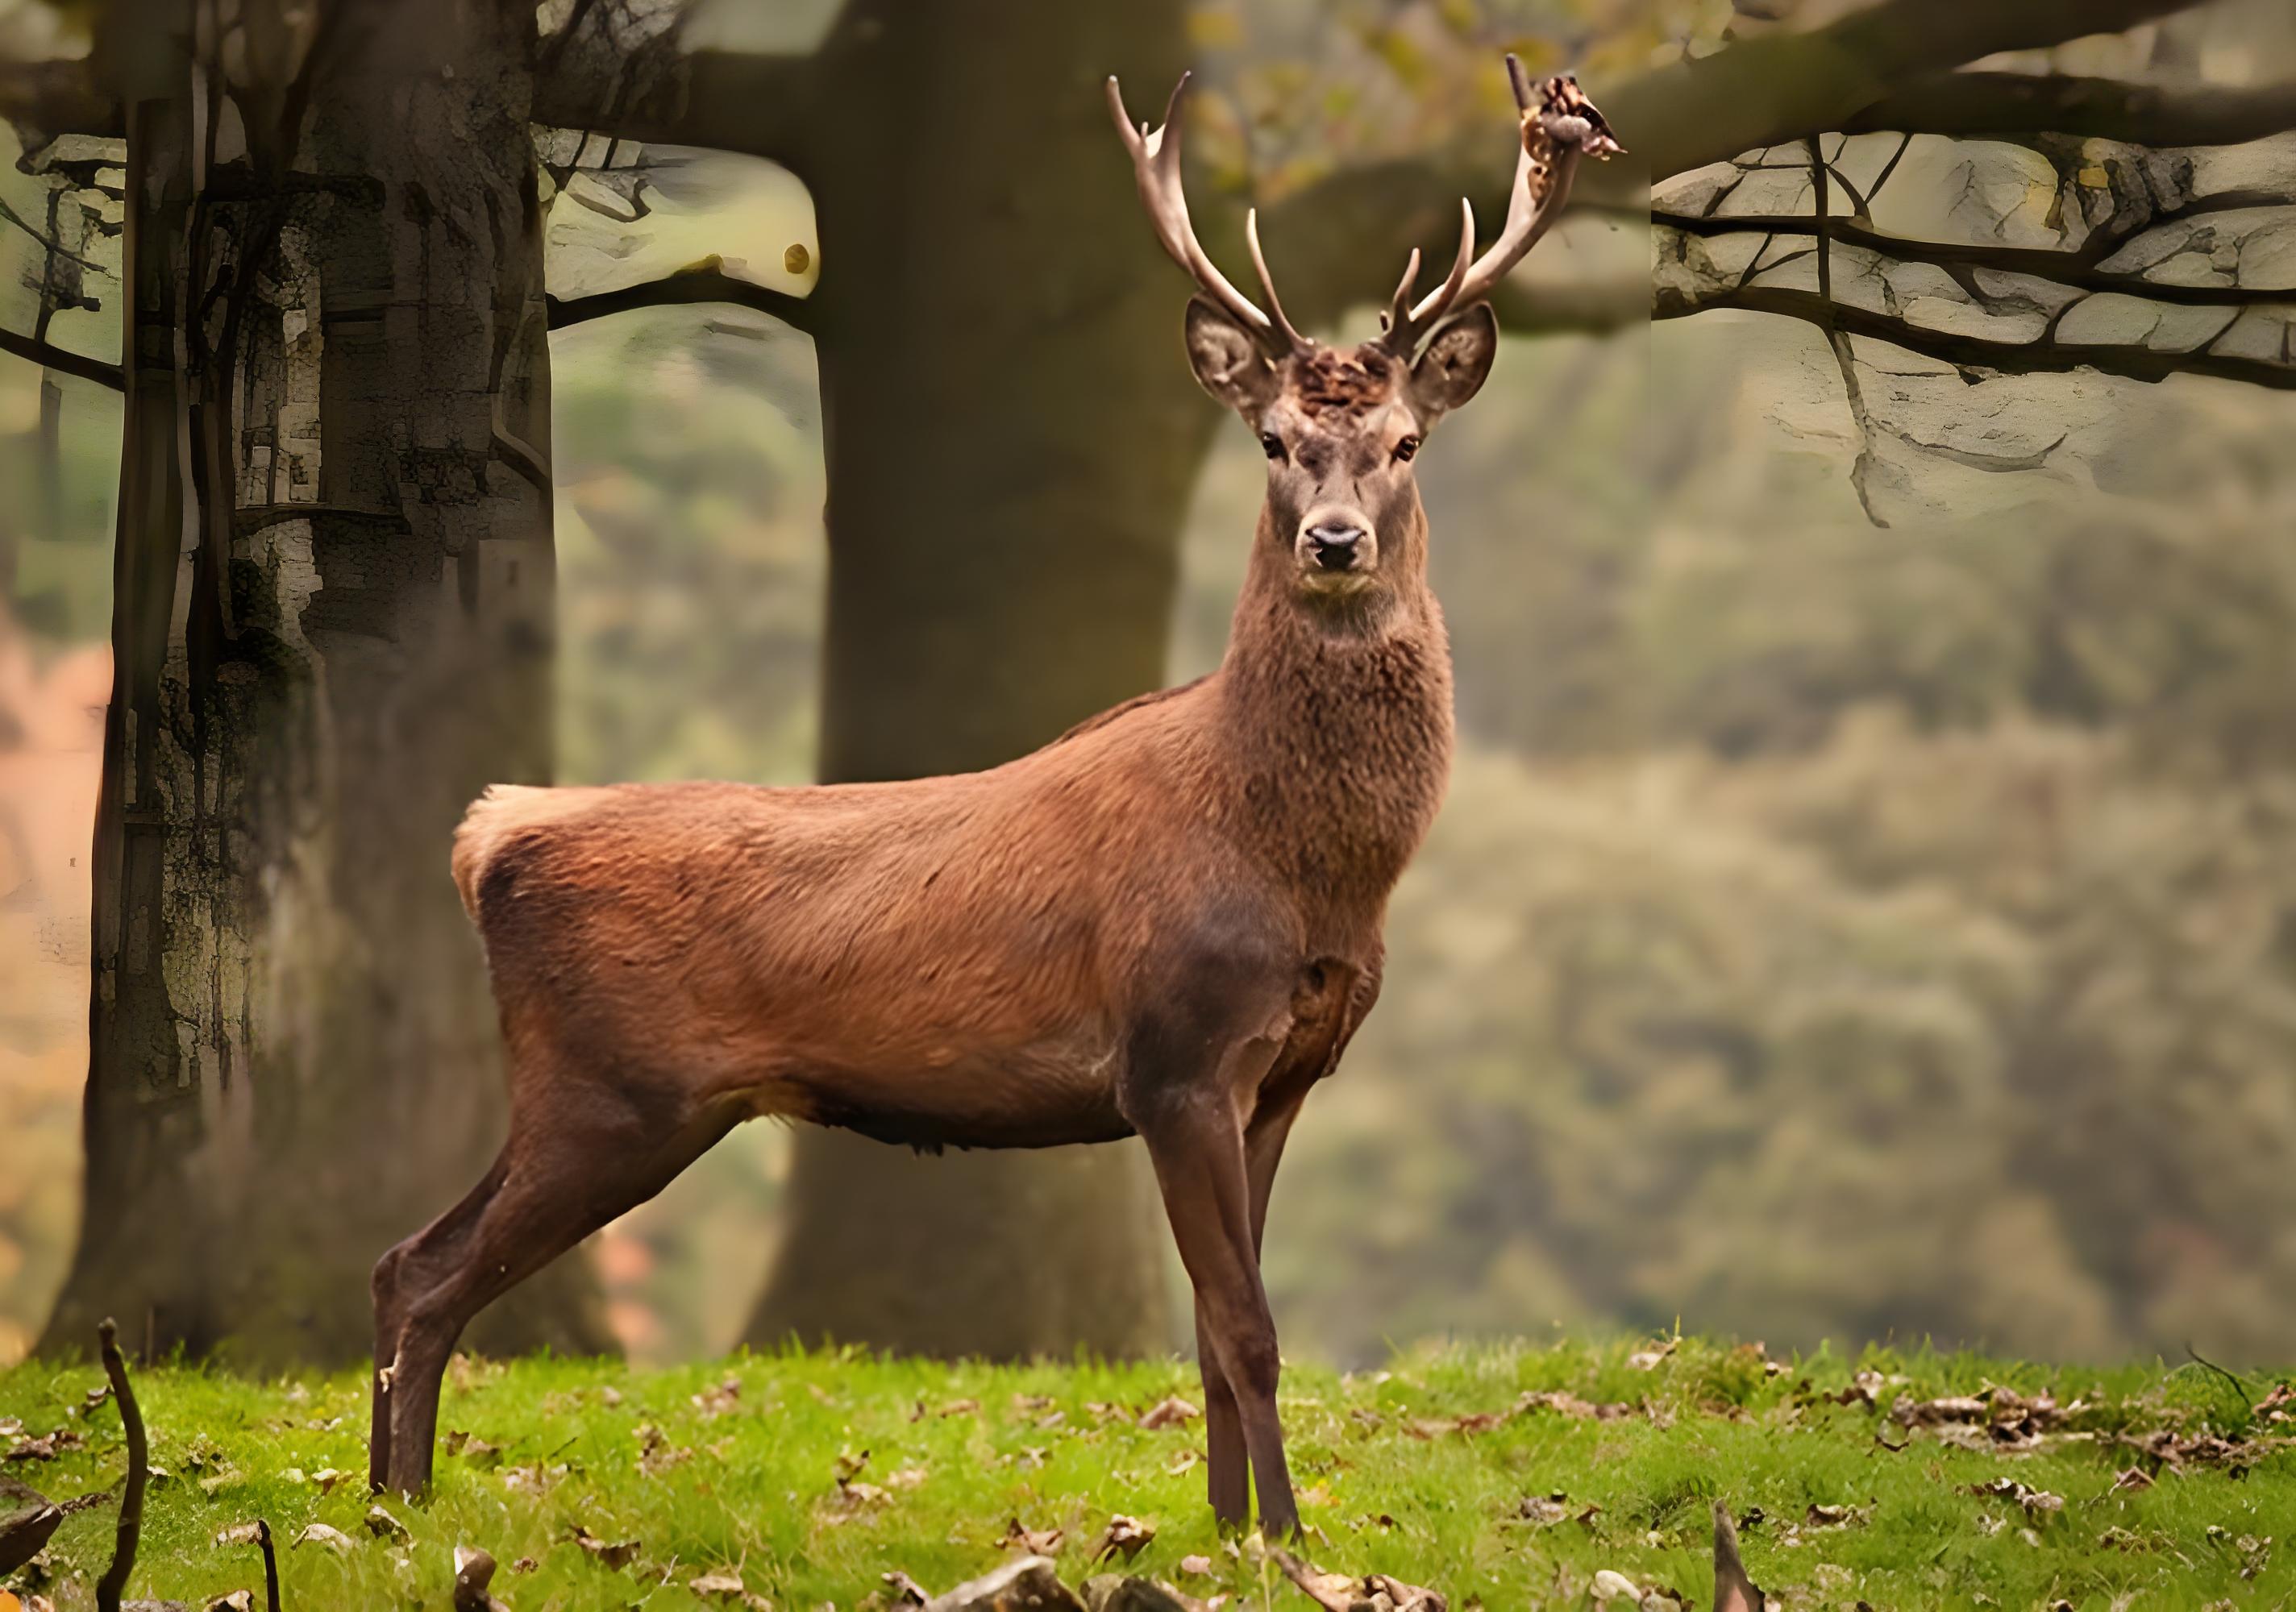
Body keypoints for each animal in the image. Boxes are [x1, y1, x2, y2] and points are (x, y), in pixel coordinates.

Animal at [367, 56, 1616, 1534]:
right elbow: (1245, 1326)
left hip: (606, 1092)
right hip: (609, 1084)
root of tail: (489, 835)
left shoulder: (1284, 1073)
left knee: (403, 1258)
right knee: (429, 1275)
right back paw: (394, 1512)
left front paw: (1227, 1532)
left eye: (1407, 442)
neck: (1303, 864)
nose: (1334, 541)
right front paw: (1290, 1544)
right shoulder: (1172, 1051)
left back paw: (391, 1507)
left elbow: (1216, 1332)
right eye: (1270, 439)